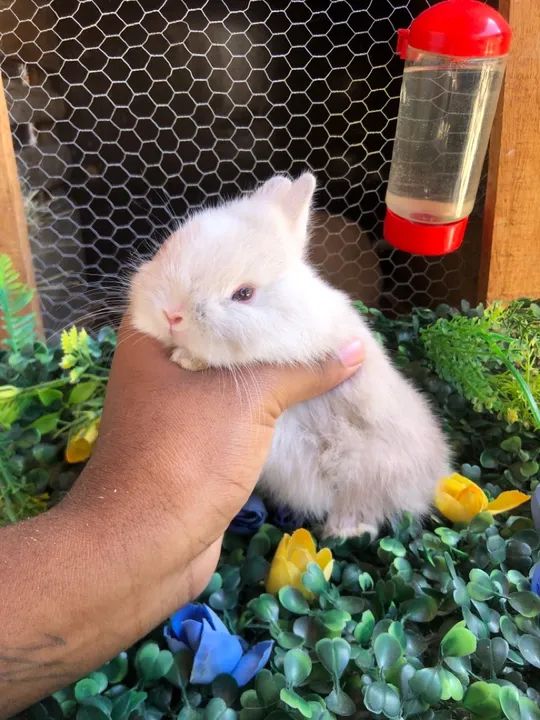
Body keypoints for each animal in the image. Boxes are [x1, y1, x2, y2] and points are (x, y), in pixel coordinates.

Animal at [129, 172, 451, 538]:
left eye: (244, 294)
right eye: (166, 248)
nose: (171, 314)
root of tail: (435, 474)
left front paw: (187, 358)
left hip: (373, 466)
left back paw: (344, 530)